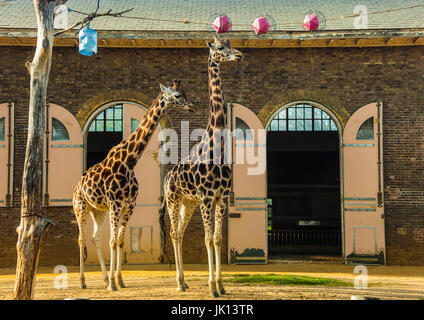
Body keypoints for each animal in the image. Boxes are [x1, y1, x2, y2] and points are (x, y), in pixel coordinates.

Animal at [73, 80, 197, 290]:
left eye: (186, 92)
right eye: (178, 96)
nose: (193, 107)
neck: (129, 162)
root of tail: (75, 187)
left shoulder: (128, 205)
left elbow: (120, 241)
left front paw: (119, 281)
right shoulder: (115, 204)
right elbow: (112, 241)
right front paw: (113, 284)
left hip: (98, 210)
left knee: (95, 237)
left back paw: (104, 278)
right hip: (80, 207)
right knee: (81, 238)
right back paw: (82, 281)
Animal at [161, 35, 243, 298]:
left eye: (231, 44)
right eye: (220, 48)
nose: (239, 55)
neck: (216, 146)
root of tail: (167, 177)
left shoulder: (221, 197)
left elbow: (217, 239)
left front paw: (221, 285)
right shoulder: (207, 196)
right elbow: (207, 239)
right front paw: (212, 287)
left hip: (189, 202)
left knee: (180, 233)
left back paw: (185, 282)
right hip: (174, 199)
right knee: (174, 233)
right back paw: (179, 282)